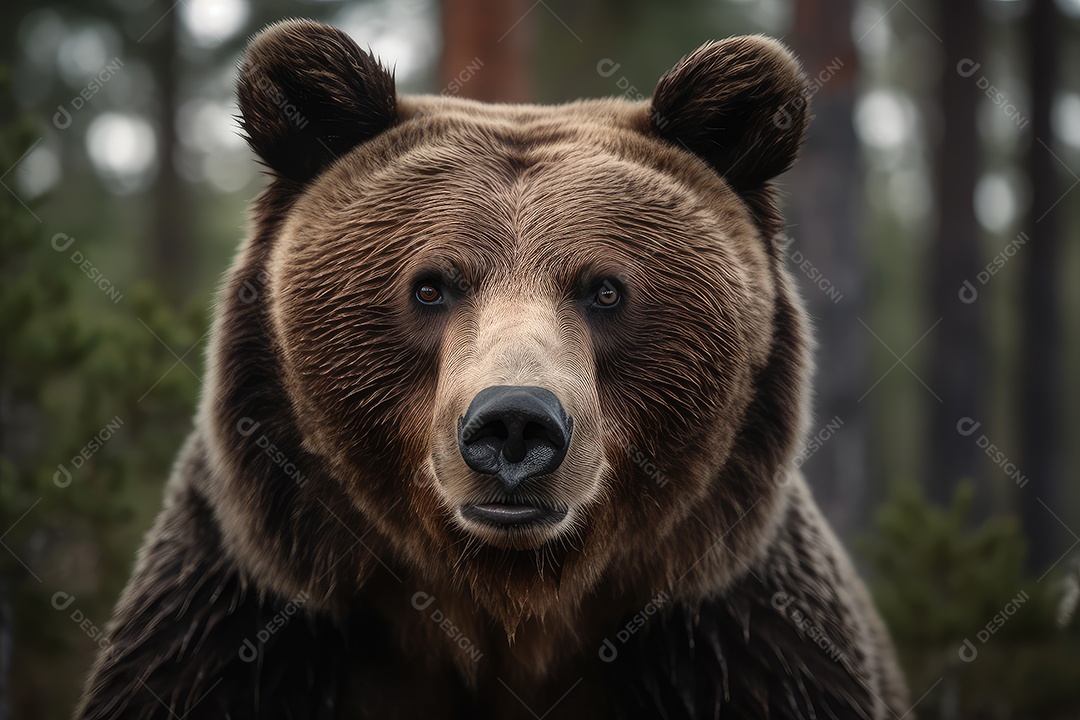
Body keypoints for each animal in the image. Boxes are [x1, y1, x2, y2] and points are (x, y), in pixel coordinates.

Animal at [76, 19, 909, 720]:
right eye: (430, 285)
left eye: (606, 289)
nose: (514, 423)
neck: (509, 607)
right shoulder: (244, 624)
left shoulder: (737, 639)